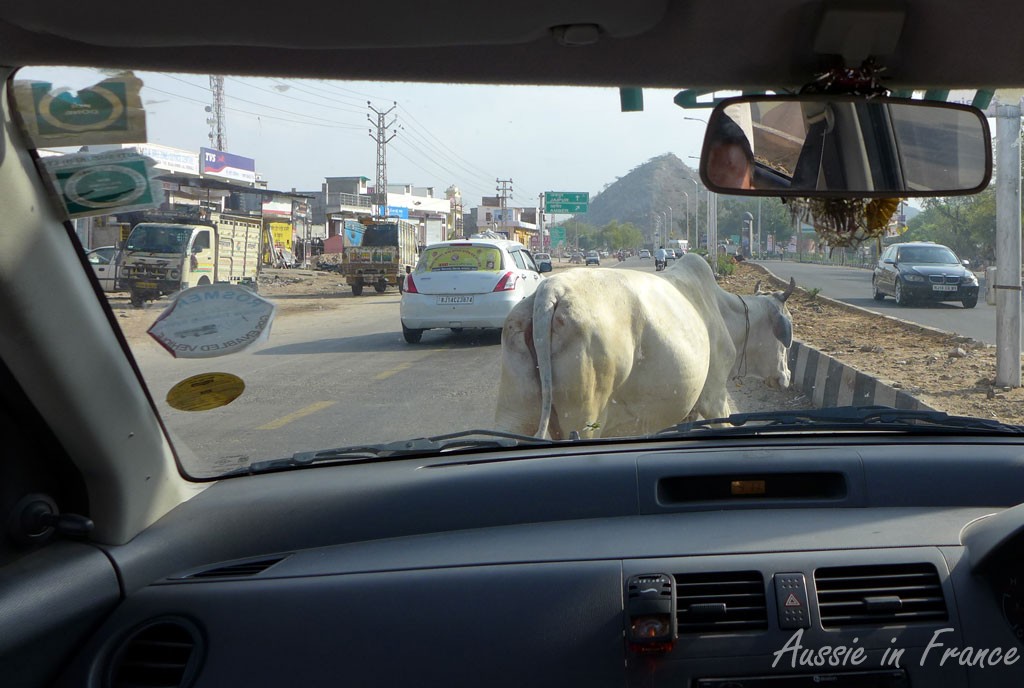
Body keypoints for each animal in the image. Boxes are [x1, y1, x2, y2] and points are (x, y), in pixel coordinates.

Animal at [491, 253, 794, 440]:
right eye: (788, 325)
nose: (787, 376)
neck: (724, 310)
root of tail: (551, 290)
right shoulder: (714, 395)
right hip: (584, 416)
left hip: (514, 412)